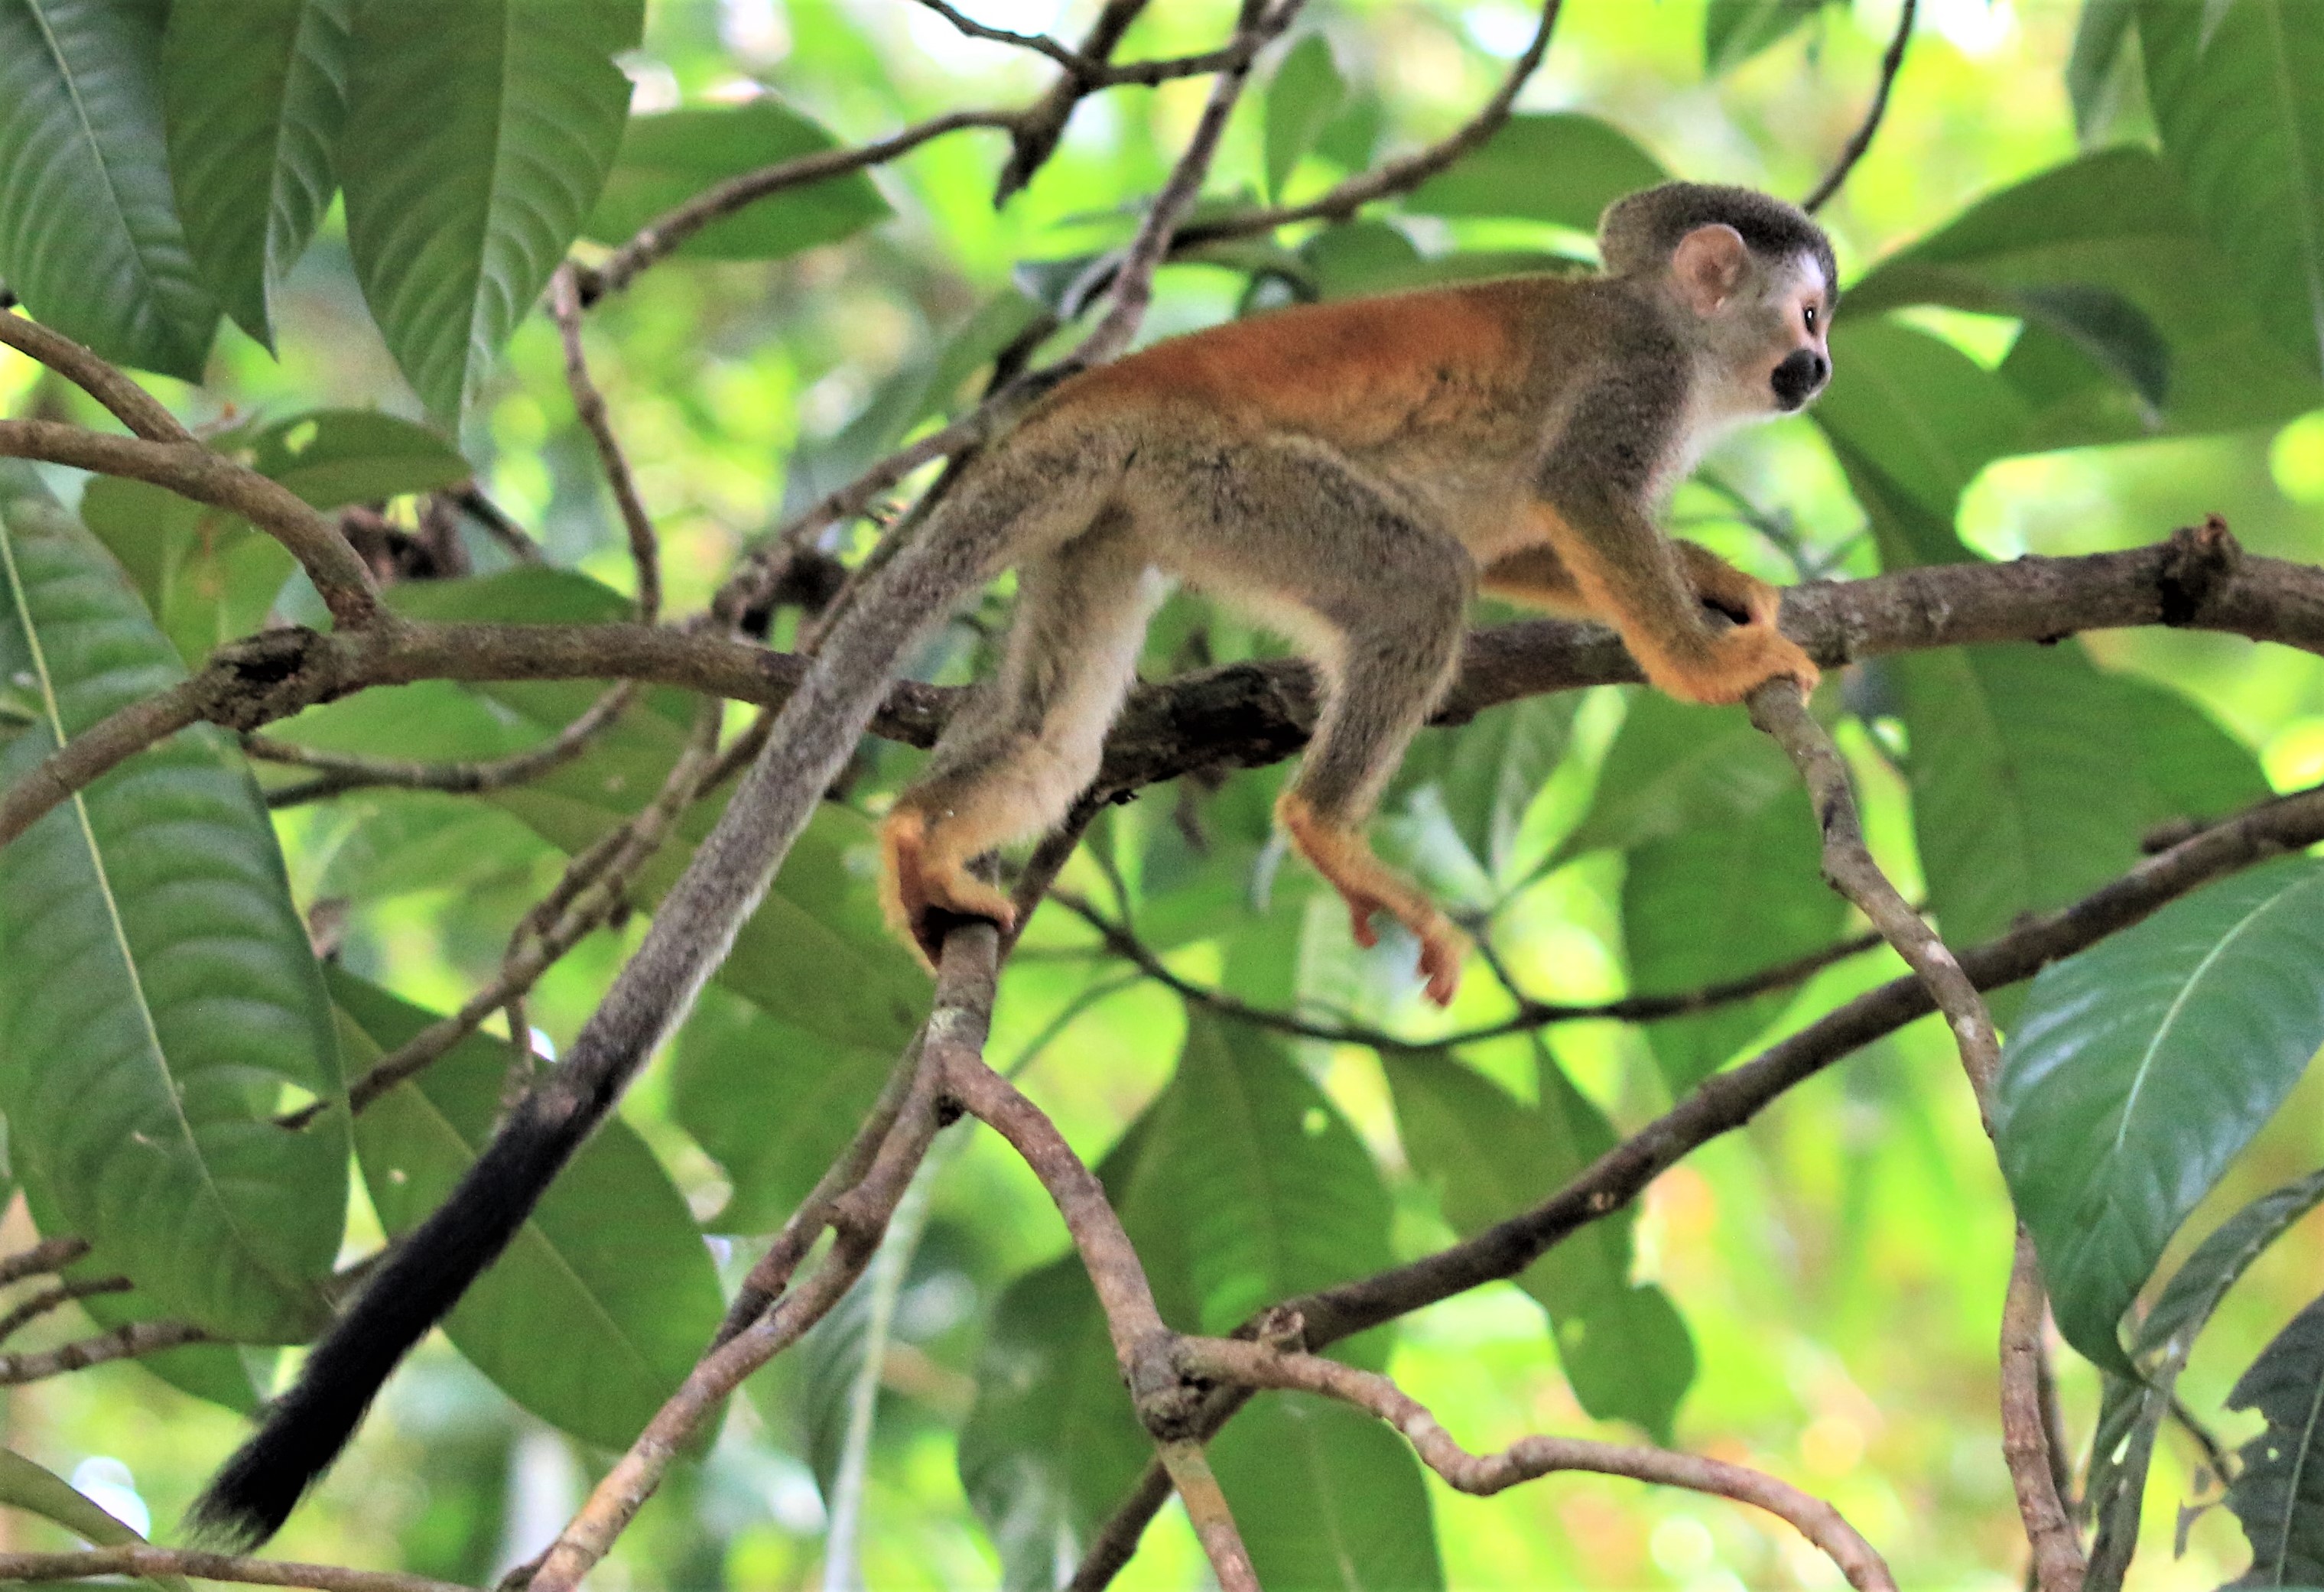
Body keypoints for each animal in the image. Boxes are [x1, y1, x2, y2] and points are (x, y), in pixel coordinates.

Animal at [190, 184, 1831, 1543]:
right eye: (1805, 316)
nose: (1814, 367)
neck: (1675, 340)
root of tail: (1116, 383)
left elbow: (1530, 543)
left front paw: (1717, 582)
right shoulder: (1630, 384)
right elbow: (1573, 502)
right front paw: (1696, 656)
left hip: (1128, 510)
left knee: (1056, 725)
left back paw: (921, 841)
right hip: (1235, 481)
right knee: (1417, 576)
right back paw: (1323, 828)